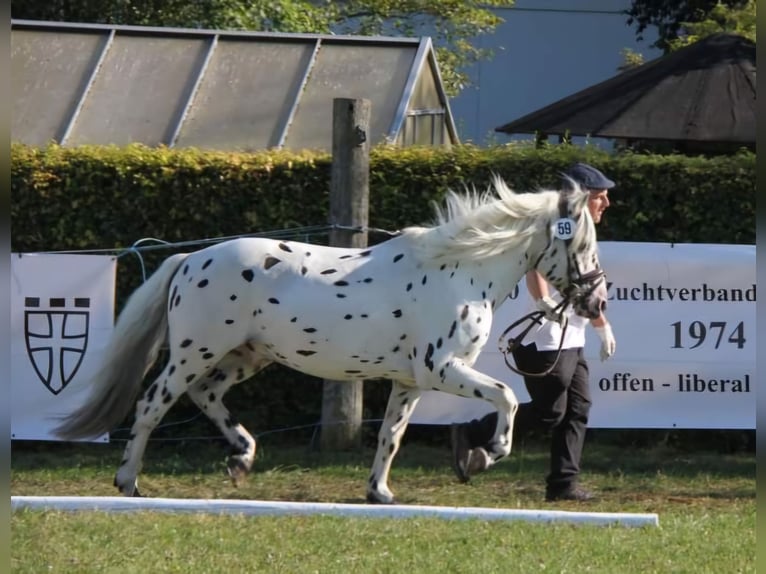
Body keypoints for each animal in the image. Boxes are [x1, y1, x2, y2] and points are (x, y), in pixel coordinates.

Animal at [54, 176, 608, 504]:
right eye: (584, 245)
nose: (597, 303)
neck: (460, 271)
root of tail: (191, 259)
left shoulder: (410, 381)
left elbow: (391, 435)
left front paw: (380, 492)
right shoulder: (441, 369)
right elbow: (508, 397)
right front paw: (485, 454)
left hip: (248, 355)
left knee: (205, 395)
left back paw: (241, 458)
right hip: (197, 350)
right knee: (153, 404)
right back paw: (129, 482)